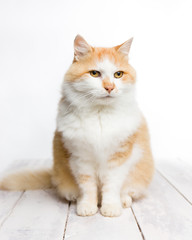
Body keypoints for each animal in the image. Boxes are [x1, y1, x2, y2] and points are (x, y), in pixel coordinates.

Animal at [0, 35, 154, 218]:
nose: (110, 87)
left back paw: (123, 200)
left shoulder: (118, 158)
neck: (99, 114)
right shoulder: (81, 158)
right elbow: (88, 187)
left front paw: (110, 208)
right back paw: (76, 197)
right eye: (94, 73)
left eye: (118, 74)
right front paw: (87, 206)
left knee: (127, 190)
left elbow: (111, 186)